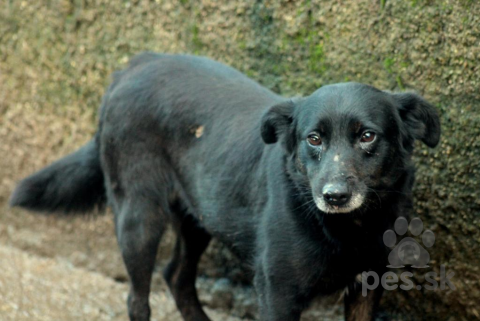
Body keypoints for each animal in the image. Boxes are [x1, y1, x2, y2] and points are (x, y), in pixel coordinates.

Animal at [10, 53, 438, 320]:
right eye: (314, 139)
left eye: (367, 136)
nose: (334, 196)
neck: (347, 229)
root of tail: (136, 64)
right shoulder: (277, 293)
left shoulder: (366, 286)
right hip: (139, 216)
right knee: (138, 298)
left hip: (201, 214)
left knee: (177, 277)